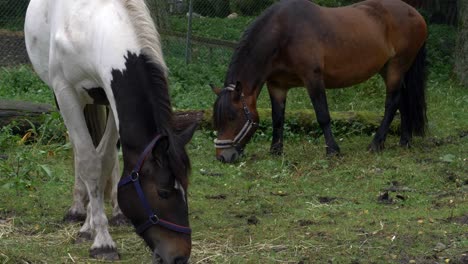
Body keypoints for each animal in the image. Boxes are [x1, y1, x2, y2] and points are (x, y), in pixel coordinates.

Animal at [24, 0, 197, 262]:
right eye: (163, 192)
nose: (179, 256)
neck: (91, 25)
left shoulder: (111, 96)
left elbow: (104, 160)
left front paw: (94, 225)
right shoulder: (65, 93)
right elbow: (89, 162)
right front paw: (101, 241)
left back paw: (114, 212)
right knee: (79, 151)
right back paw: (77, 209)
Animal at [212, 0, 428, 163]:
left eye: (232, 117)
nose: (223, 157)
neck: (283, 33)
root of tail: (415, 13)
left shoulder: (313, 78)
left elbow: (323, 115)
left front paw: (332, 150)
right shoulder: (277, 86)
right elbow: (277, 118)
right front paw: (275, 150)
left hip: (397, 66)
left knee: (392, 102)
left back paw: (376, 143)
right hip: (390, 69)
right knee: (404, 100)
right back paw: (405, 141)